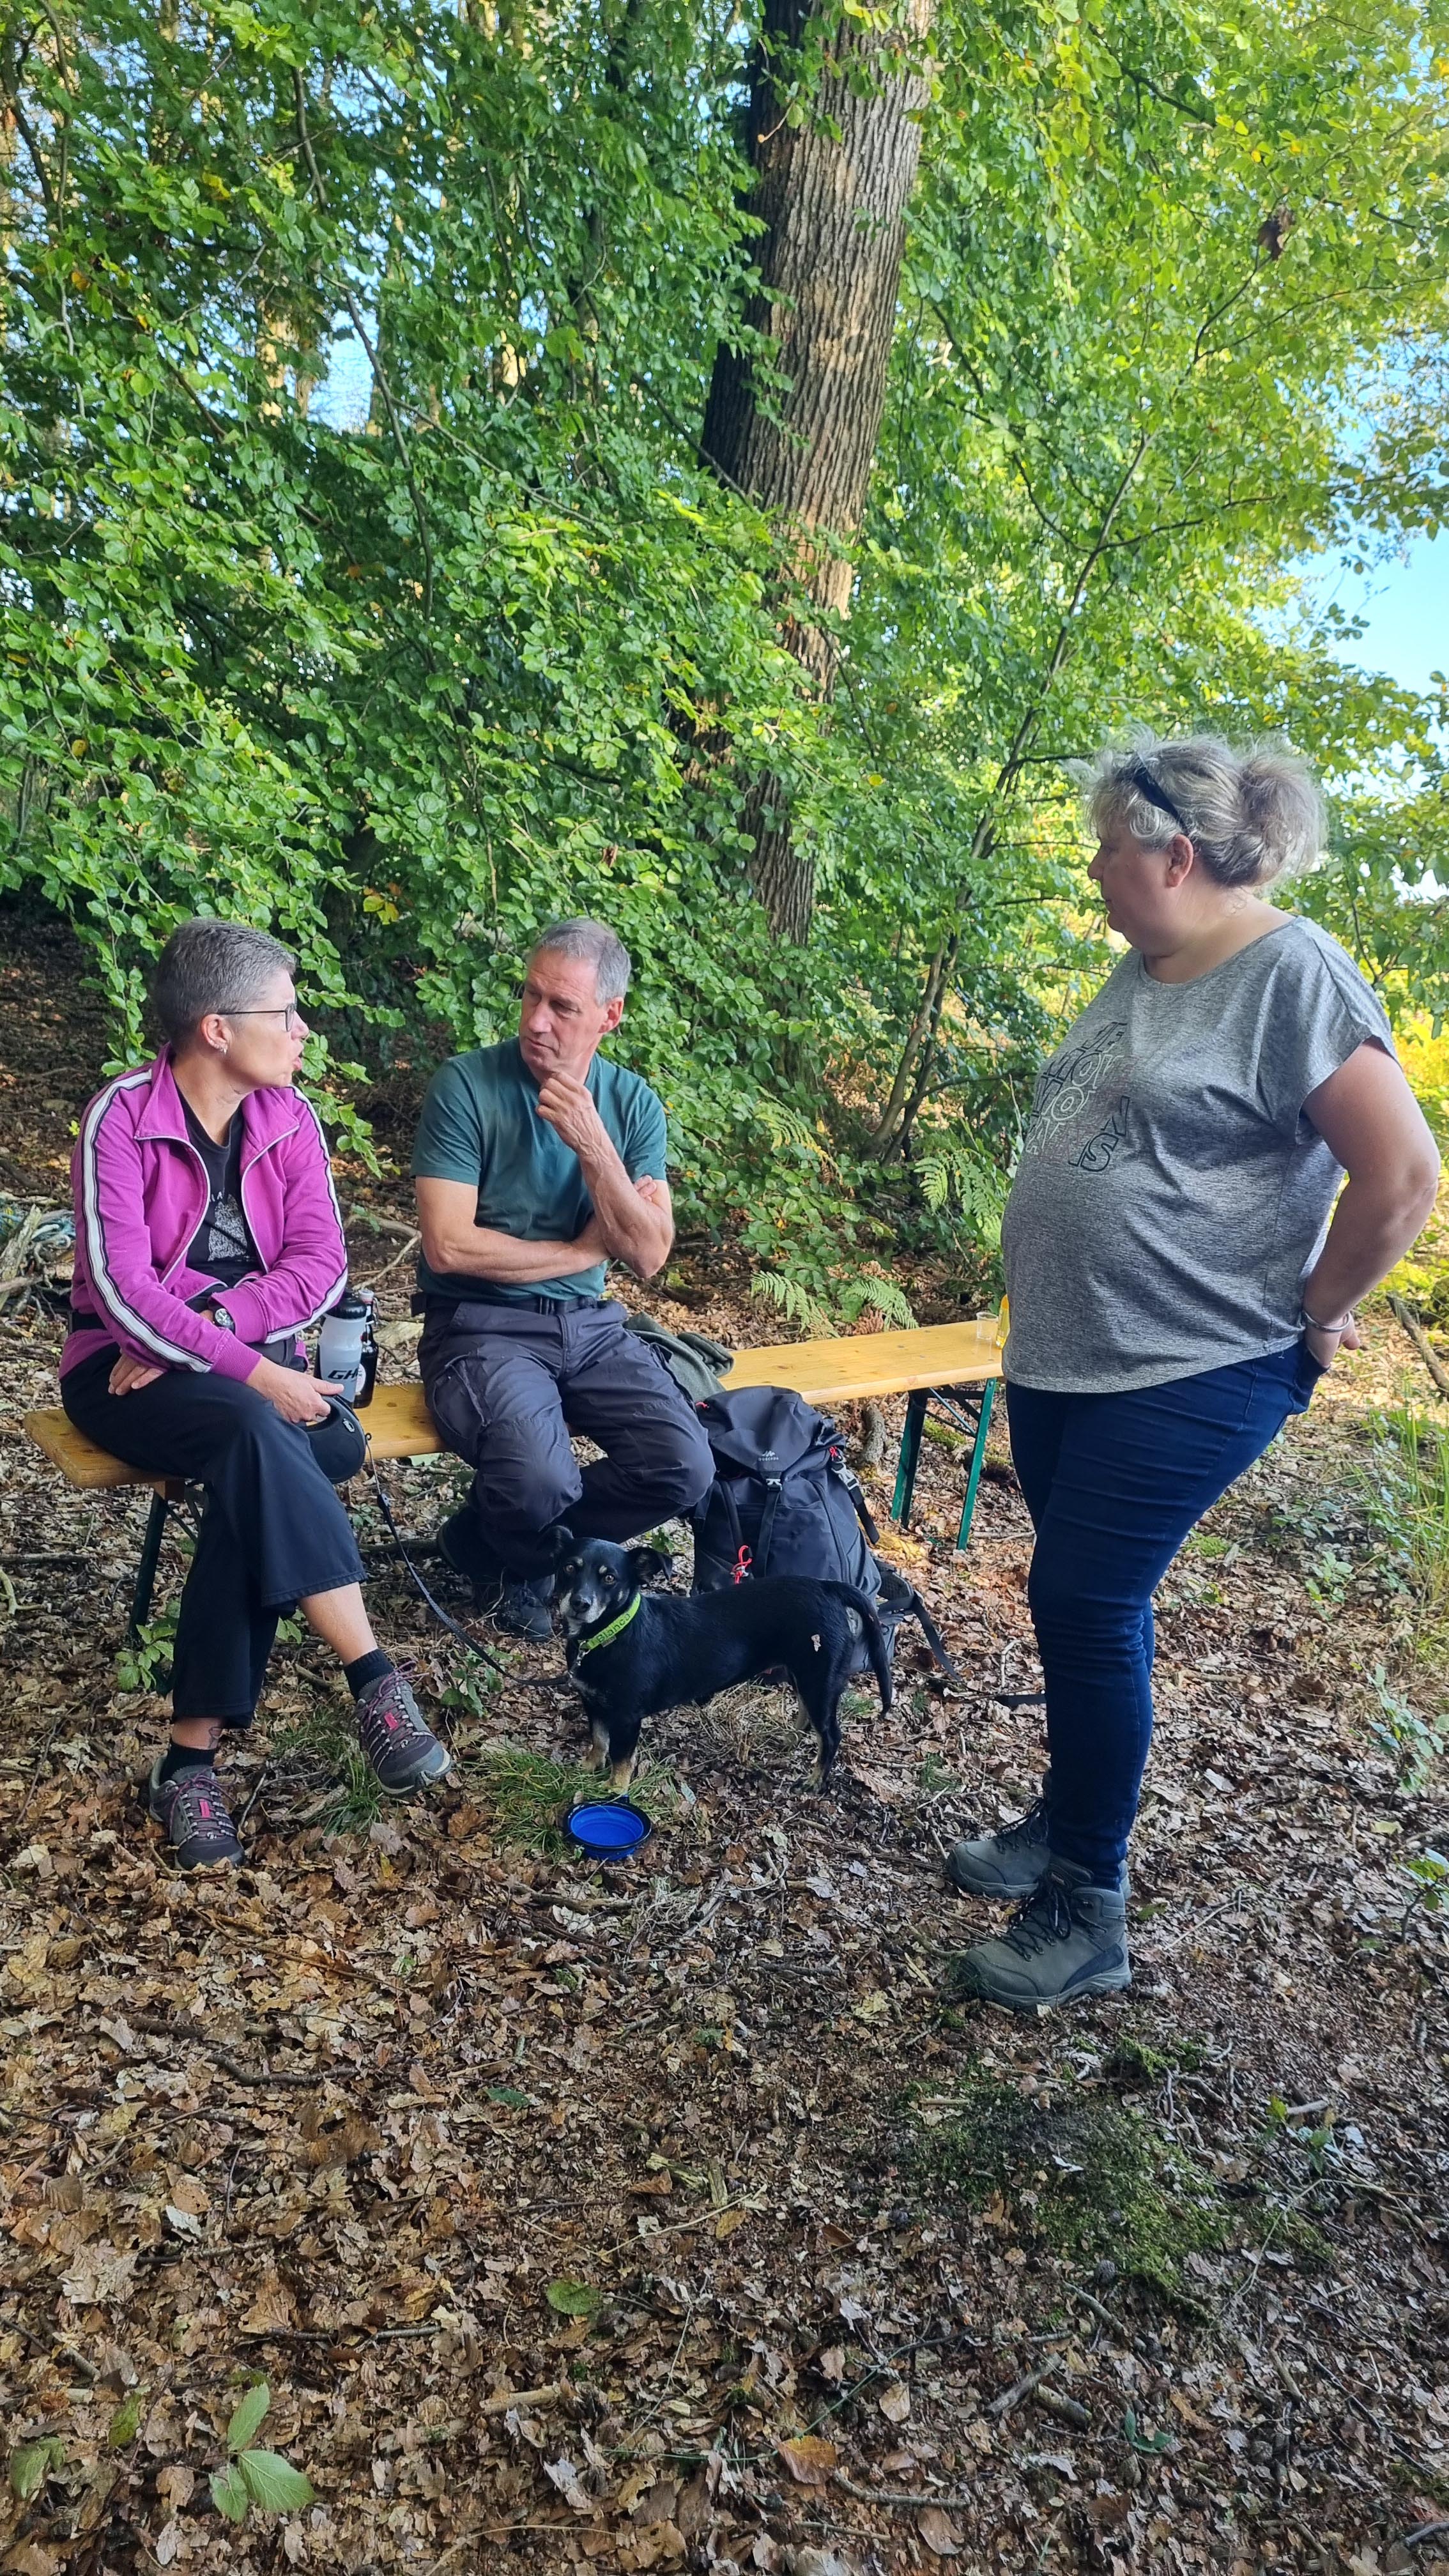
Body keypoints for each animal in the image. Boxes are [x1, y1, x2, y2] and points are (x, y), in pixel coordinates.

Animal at [548, 1529, 893, 1788]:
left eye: (610, 1578)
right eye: (569, 1568)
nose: (580, 1603)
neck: (609, 1635)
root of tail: (828, 1587)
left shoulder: (627, 1717)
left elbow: (621, 1759)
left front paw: (613, 1791)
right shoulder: (593, 1703)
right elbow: (599, 1740)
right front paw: (588, 1767)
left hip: (820, 1680)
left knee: (831, 1735)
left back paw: (815, 1781)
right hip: (805, 1675)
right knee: (809, 1716)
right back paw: (791, 1739)